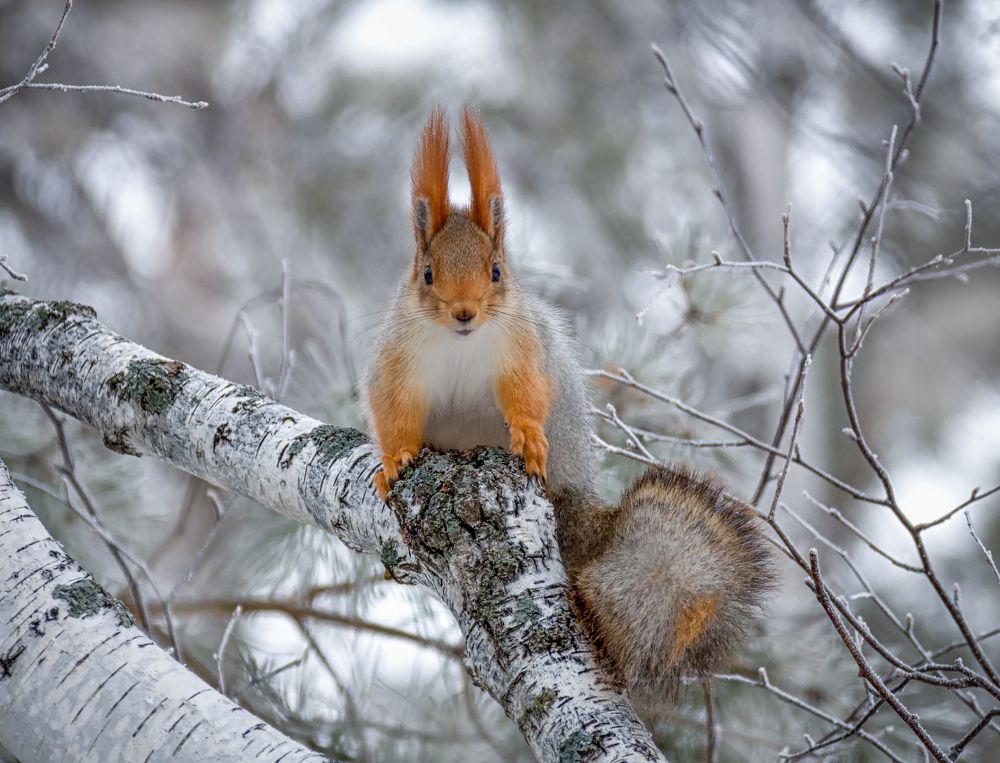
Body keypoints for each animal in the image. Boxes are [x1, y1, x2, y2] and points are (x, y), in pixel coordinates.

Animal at [362, 106, 775, 712]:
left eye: (496, 270)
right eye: (428, 273)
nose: (464, 313)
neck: (461, 343)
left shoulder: (523, 349)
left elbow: (527, 394)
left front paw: (530, 436)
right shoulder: (398, 360)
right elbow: (393, 410)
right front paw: (394, 460)